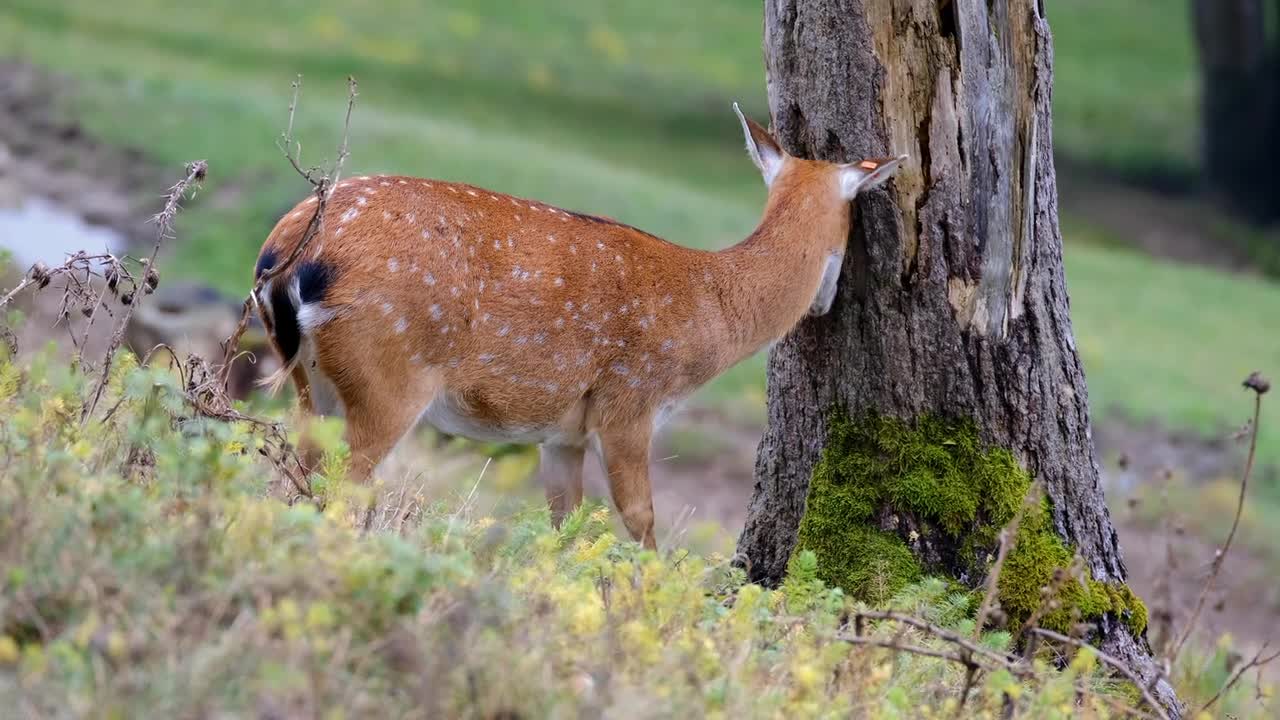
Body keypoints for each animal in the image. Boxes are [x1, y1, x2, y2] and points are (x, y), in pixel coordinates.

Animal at [249, 103, 906, 545]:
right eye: (852, 222)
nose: (824, 303)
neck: (708, 310)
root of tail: (285, 255)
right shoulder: (630, 403)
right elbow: (639, 519)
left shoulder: (560, 432)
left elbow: (563, 523)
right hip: (390, 375)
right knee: (341, 490)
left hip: (312, 384)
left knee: (288, 481)